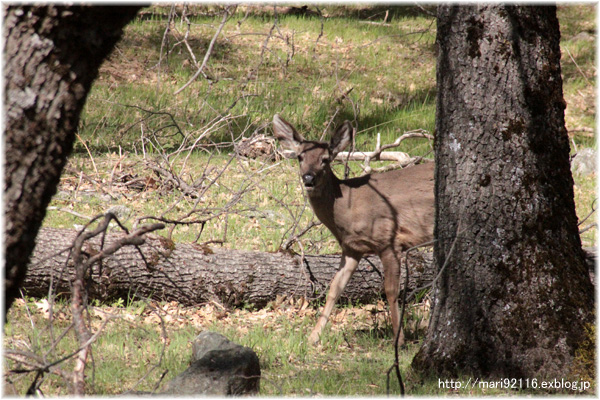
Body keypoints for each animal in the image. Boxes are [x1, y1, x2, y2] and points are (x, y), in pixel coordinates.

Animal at [274, 114, 436, 346]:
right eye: (299, 157)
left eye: (325, 159)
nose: (308, 178)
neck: (346, 212)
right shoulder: (351, 248)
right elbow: (335, 288)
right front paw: (313, 336)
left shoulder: (389, 240)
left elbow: (391, 291)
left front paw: (398, 339)